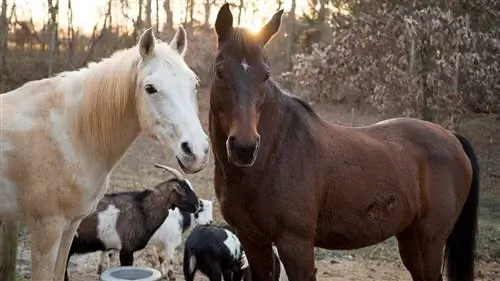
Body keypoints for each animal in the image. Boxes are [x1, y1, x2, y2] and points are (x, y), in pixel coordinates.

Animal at [208, 3, 480, 280]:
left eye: (265, 75)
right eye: (219, 72)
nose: (244, 147)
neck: (275, 153)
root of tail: (453, 138)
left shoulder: (295, 244)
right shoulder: (253, 241)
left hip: (429, 242)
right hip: (411, 240)